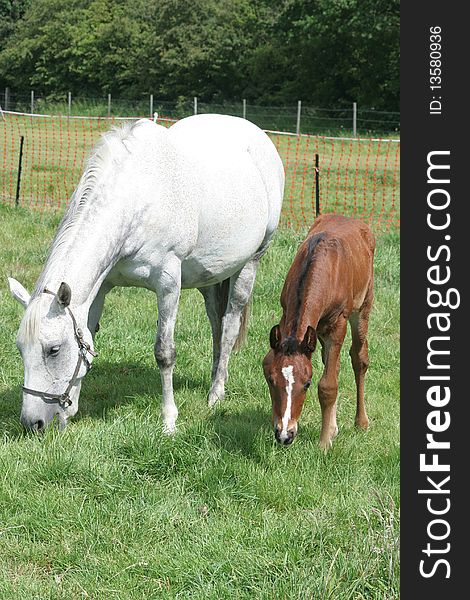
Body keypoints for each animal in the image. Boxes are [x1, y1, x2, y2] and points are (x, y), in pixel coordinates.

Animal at [9, 113, 284, 432]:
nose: (33, 423)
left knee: (229, 327)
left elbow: (165, 352)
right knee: (217, 323)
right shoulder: (100, 289)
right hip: (210, 276)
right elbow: (88, 336)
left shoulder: (168, 284)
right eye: (20, 348)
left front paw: (169, 421)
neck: (137, 195)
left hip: (250, 263)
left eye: (53, 349)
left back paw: (216, 394)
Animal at [262, 213, 376, 448]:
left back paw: (361, 422)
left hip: (363, 307)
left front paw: (324, 444)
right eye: (270, 379)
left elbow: (328, 385)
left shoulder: (338, 325)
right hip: (317, 333)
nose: (285, 435)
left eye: (307, 384)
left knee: (359, 357)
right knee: (334, 363)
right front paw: (329, 432)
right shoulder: (288, 316)